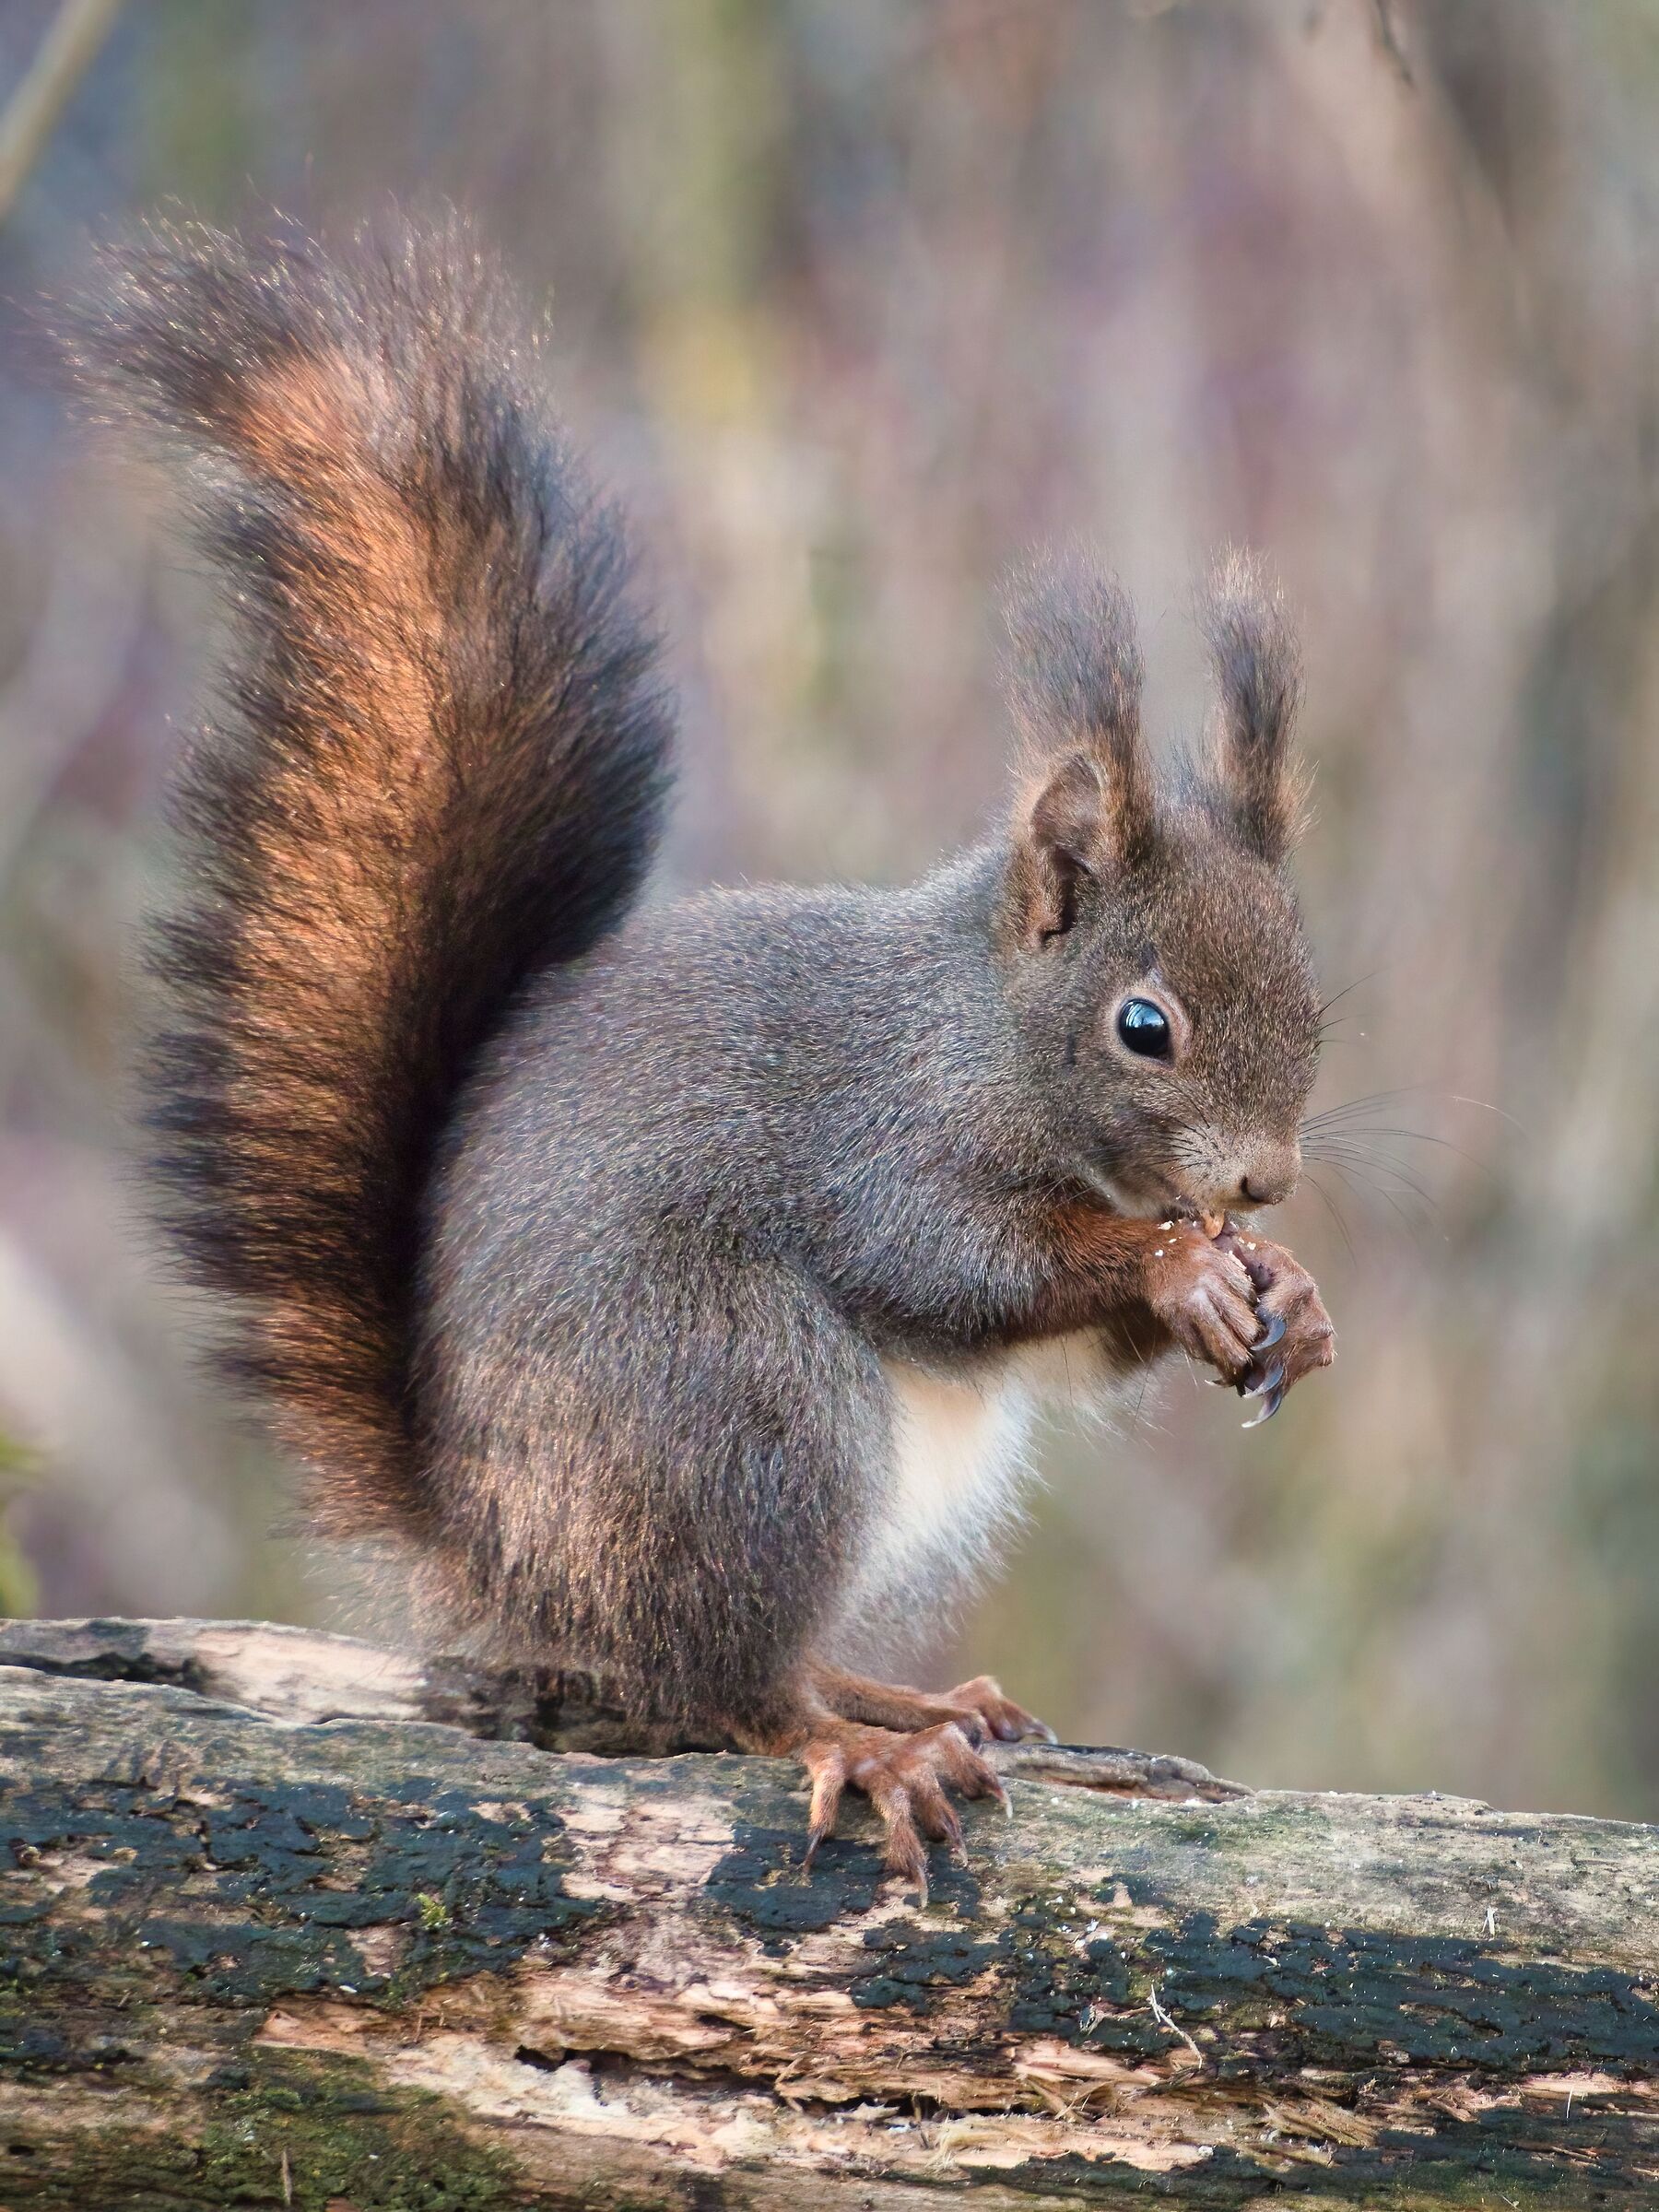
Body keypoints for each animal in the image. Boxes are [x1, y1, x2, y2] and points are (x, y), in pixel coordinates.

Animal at [77, 216, 1334, 1895]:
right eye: (1147, 1027)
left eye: (1316, 990)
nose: (1263, 1183)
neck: (981, 1031)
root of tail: (507, 1560)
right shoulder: (879, 1139)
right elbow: (959, 1266)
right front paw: (1181, 1268)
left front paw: (1289, 1297)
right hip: (741, 1411)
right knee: (726, 1685)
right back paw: (869, 1743)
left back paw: (919, 1696)